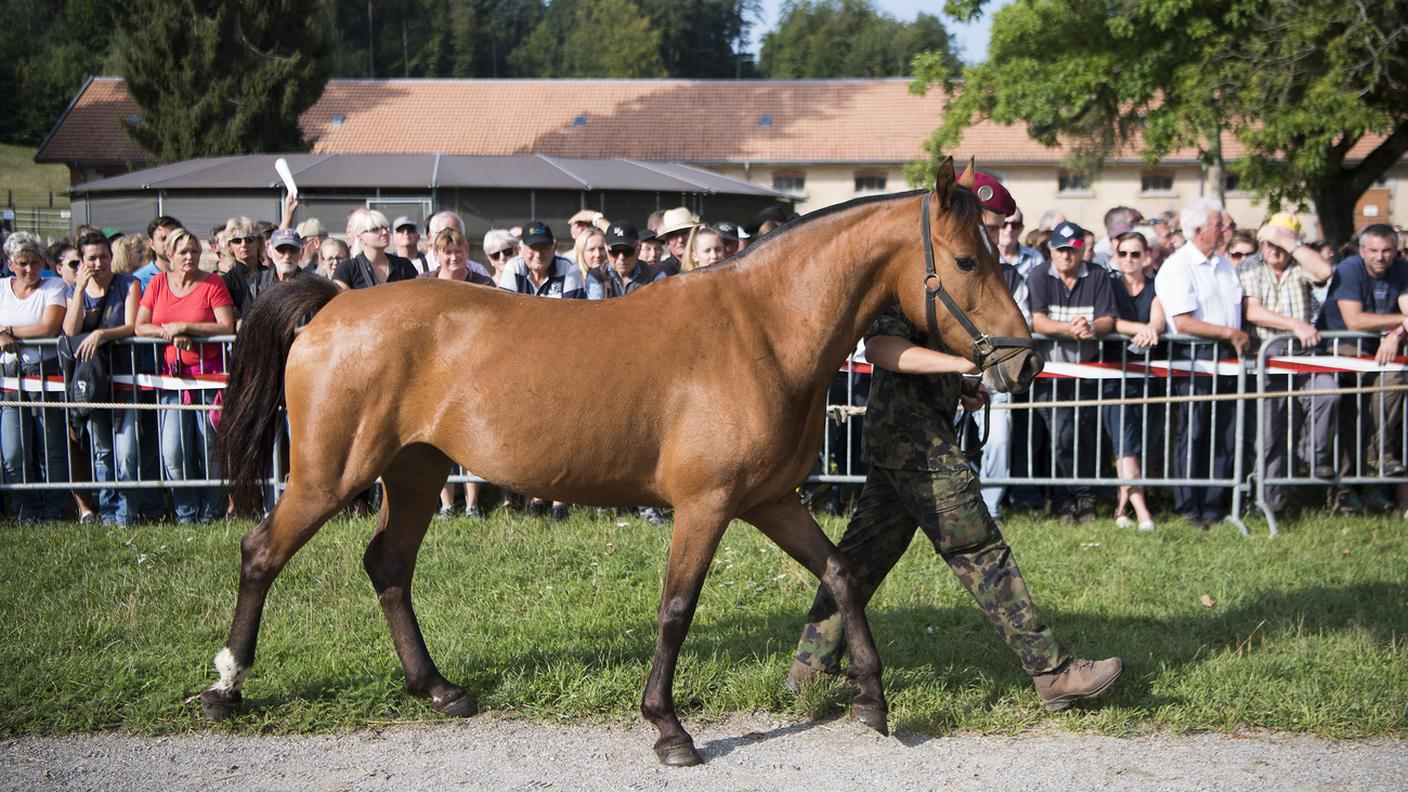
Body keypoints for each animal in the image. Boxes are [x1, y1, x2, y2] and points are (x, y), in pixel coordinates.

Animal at [201, 158, 1036, 766]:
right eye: (968, 259)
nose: (1025, 361)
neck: (762, 329)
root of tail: (334, 302)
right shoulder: (706, 505)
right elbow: (676, 609)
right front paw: (668, 728)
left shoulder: (770, 501)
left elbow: (839, 573)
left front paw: (871, 698)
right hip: (326, 475)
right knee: (261, 553)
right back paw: (227, 685)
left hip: (416, 473)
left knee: (388, 566)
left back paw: (437, 688)